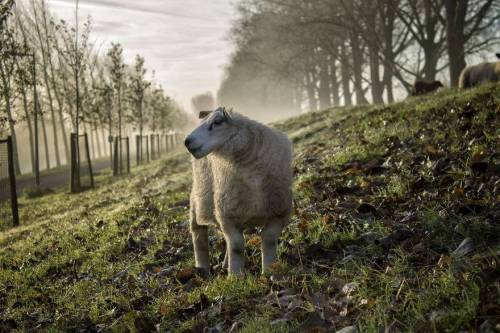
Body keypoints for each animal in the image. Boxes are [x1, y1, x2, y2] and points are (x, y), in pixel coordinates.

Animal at [184, 107, 292, 274]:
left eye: (217, 122)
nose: (187, 141)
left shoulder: (279, 211)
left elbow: (268, 240)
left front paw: (270, 272)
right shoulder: (227, 215)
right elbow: (236, 246)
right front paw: (235, 275)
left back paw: (224, 265)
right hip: (200, 198)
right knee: (198, 234)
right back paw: (202, 269)